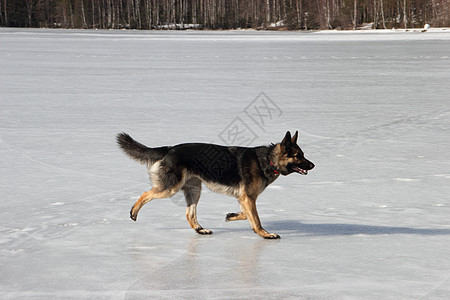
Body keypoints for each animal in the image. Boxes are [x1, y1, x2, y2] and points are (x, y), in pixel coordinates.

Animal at [116, 131, 314, 239]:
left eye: (303, 154)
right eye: (298, 156)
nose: (313, 165)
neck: (267, 159)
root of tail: (169, 148)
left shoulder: (244, 198)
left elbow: (247, 215)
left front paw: (231, 216)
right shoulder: (248, 197)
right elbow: (256, 219)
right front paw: (265, 234)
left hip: (194, 190)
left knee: (190, 214)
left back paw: (200, 229)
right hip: (170, 189)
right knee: (145, 194)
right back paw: (133, 212)